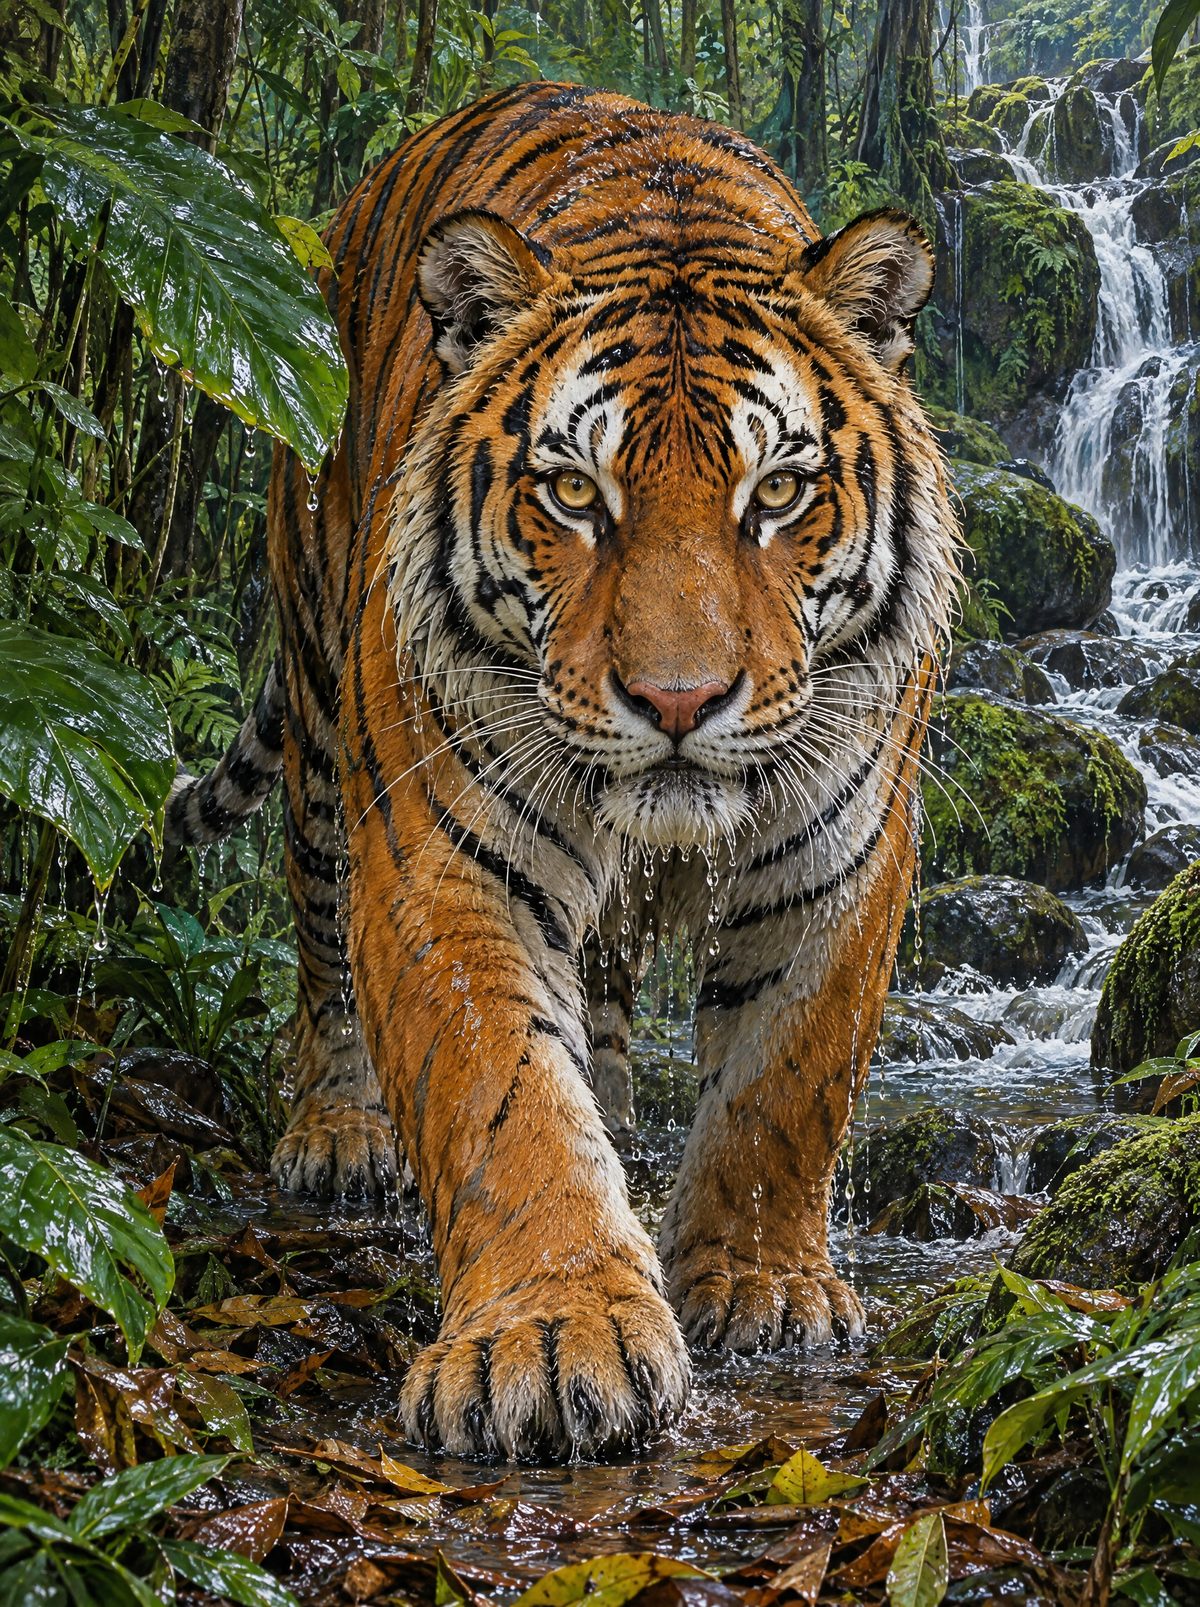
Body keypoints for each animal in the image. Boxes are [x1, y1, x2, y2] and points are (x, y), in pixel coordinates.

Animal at [166, 80, 958, 1461]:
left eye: (779, 492)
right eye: (576, 495)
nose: (679, 699)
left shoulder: (836, 853)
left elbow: (782, 1081)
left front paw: (761, 1284)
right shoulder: (444, 856)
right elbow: (508, 1095)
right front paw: (549, 1334)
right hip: (320, 719)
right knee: (318, 941)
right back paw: (339, 1130)